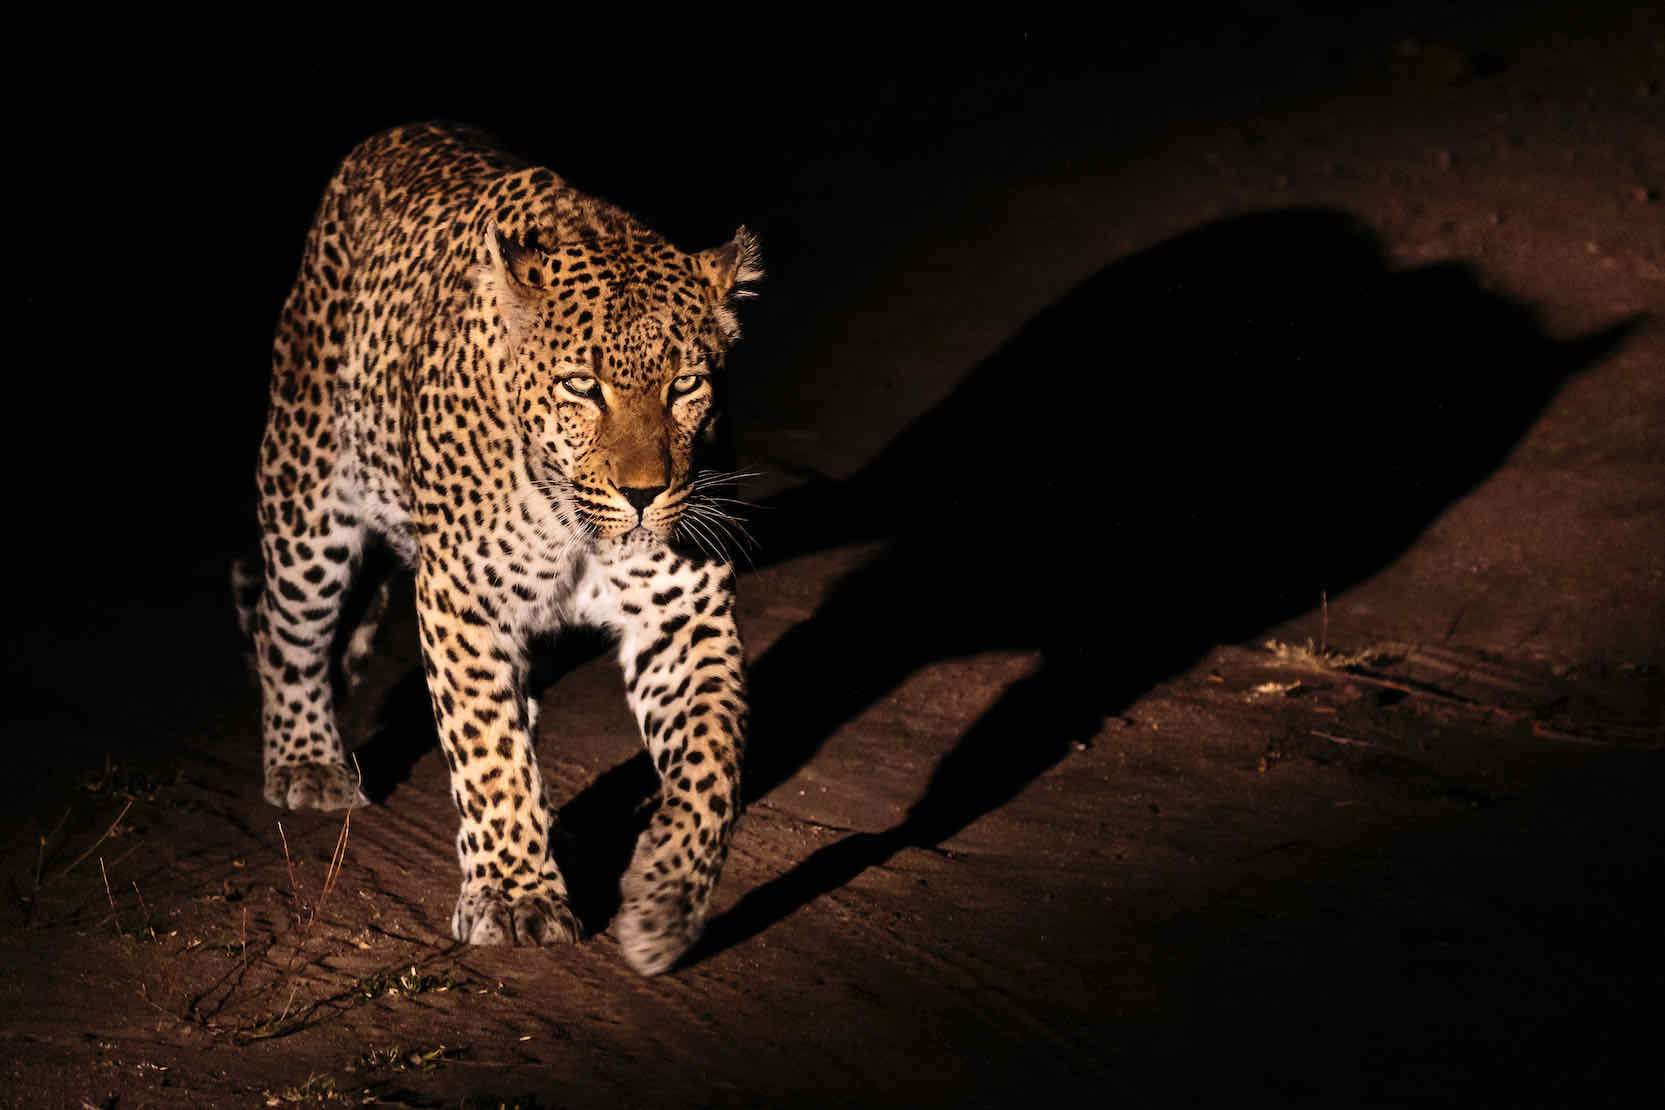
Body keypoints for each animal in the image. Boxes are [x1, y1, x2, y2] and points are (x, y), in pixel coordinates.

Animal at [238, 122, 761, 976]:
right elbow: (485, 750)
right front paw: (515, 896)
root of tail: (393, 134)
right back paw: (305, 761)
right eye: (582, 387)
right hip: (308, 497)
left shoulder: (683, 612)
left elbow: (712, 762)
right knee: (283, 631)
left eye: (686, 386)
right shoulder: (463, 600)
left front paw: (664, 902)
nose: (644, 495)